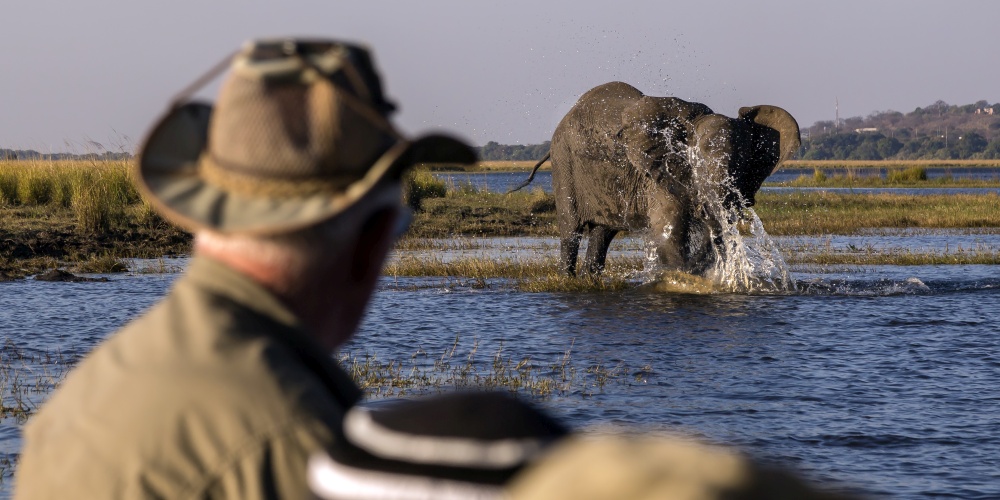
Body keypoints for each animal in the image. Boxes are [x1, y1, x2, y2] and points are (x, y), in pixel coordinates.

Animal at [512, 82, 800, 278]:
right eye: (697, 160)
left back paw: (590, 279)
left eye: (743, 162)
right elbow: (667, 235)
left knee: (603, 233)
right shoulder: (658, 175)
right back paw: (569, 279)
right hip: (564, 163)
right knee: (571, 231)